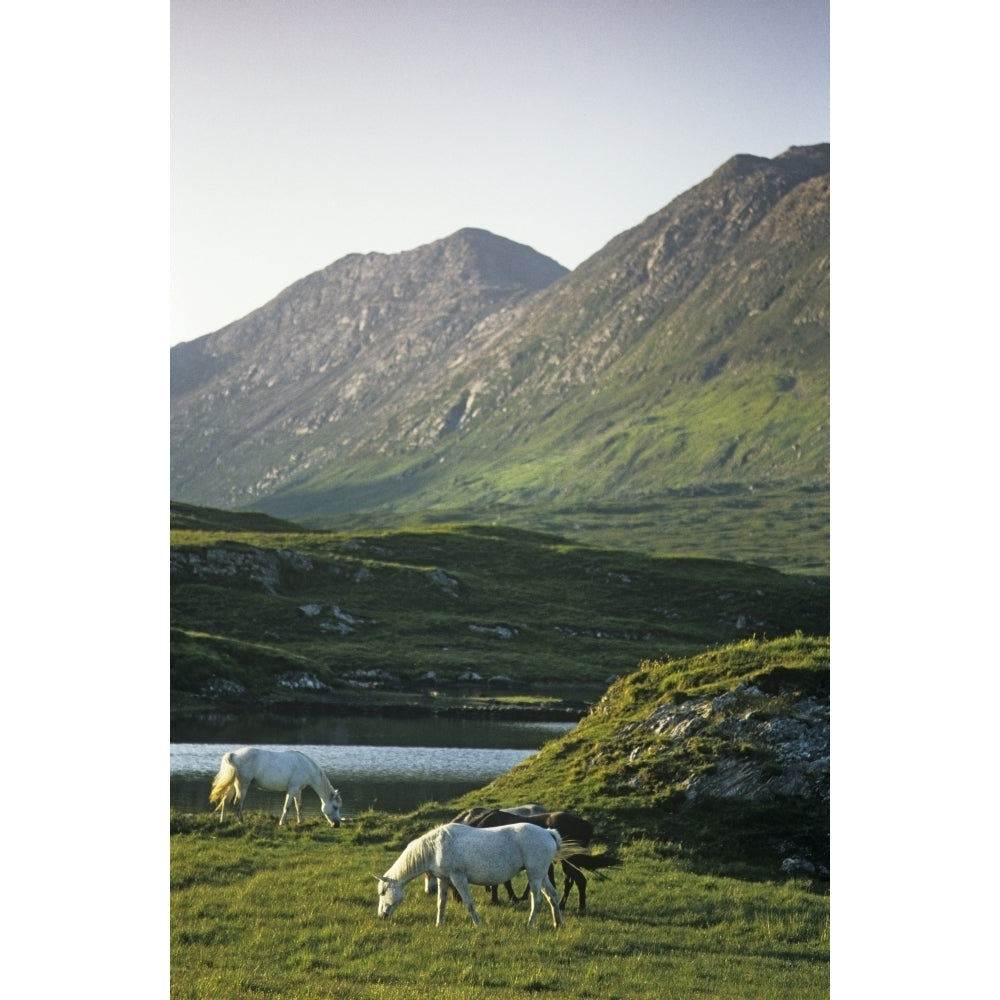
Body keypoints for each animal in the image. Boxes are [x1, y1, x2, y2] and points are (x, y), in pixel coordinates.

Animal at [209, 744, 342, 828]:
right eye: (335, 807)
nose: (337, 825)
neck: (305, 766)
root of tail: (234, 755)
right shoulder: (292, 789)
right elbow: (287, 807)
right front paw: (282, 823)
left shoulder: (298, 790)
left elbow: (299, 806)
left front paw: (300, 822)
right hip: (242, 785)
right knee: (238, 804)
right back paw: (242, 823)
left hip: (232, 785)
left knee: (225, 801)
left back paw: (222, 821)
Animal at [376, 820, 572, 928]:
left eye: (383, 892)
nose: (381, 916)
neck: (435, 847)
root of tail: (548, 832)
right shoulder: (443, 879)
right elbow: (441, 903)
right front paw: (439, 923)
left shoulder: (458, 878)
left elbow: (469, 903)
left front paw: (478, 924)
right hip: (541, 875)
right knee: (552, 896)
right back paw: (558, 923)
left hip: (535, 876)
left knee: (537, 901)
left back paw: (530, 925)